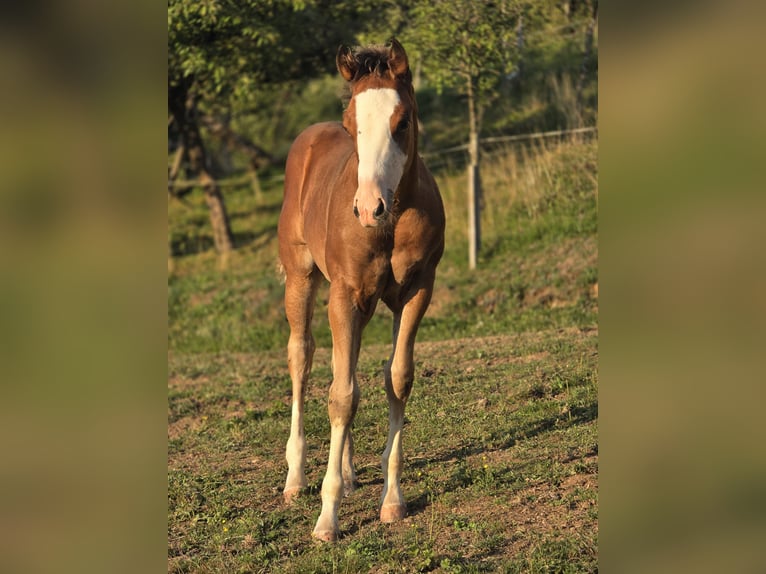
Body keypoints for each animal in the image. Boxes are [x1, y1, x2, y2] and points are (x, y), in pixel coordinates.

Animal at [277, 38, 445, 542]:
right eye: (352, 126)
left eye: (402, 122)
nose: (369, 208)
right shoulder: (345, 296)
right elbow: (342, 396)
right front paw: (326, 519)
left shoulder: (417, 291)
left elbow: (395, 378)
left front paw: (392, 501)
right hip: (302, 279)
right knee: (303, 357)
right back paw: (296, 478)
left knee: (342, 366)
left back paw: (350, 474)